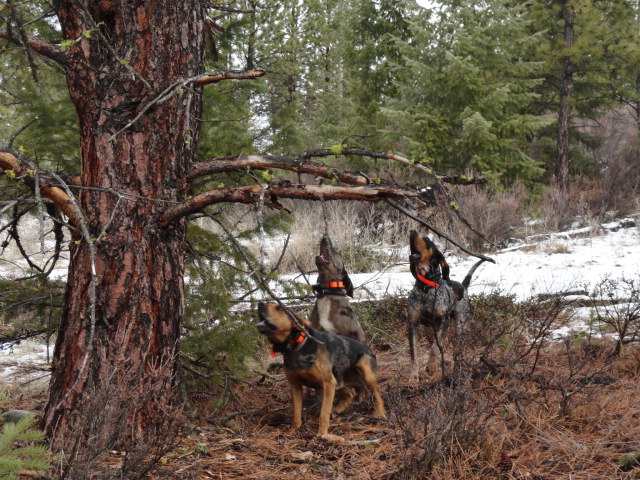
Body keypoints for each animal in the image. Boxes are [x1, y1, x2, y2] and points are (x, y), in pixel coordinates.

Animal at [256, 302, 386, 442]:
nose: (259, 303)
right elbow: (296, 413)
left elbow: (323, 413)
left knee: (377, 396)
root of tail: (367, 348)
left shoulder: (328, 382)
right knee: (350, 393)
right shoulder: (295, 386)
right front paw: (293, 431)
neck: (296, 346)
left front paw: (322, 434)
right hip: (337, 381)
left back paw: (380, 415)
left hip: (365, 376)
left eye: (279, 307)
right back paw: (337, 410)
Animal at [407, 229, 485, 381]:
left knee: (455, 349)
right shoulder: (412, 324)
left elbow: (434, 348)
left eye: (426, 238)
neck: (426, 287)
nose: (412, 231)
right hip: (429, 329)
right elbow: (414, 354)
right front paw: (413, 375)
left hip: (460, 327)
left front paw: (431, 365)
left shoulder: (444, 320)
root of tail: (463, 287)